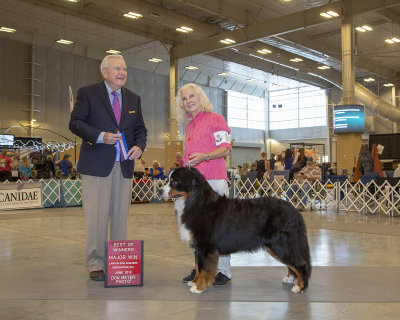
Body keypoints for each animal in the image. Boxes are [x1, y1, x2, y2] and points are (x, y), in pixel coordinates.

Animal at [160, 168, 312, 296]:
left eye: (175, 181)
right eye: (168, 179)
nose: (160, 191)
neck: (195, 202)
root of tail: (294, 210)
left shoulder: (205, 247)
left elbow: (204, 269)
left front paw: (200, 287)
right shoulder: (198, 248)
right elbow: (198, 267)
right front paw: (194, 282)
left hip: (281, 244)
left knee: (301, 264)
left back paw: (300, 287)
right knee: (293, 264)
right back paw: (290, 279)